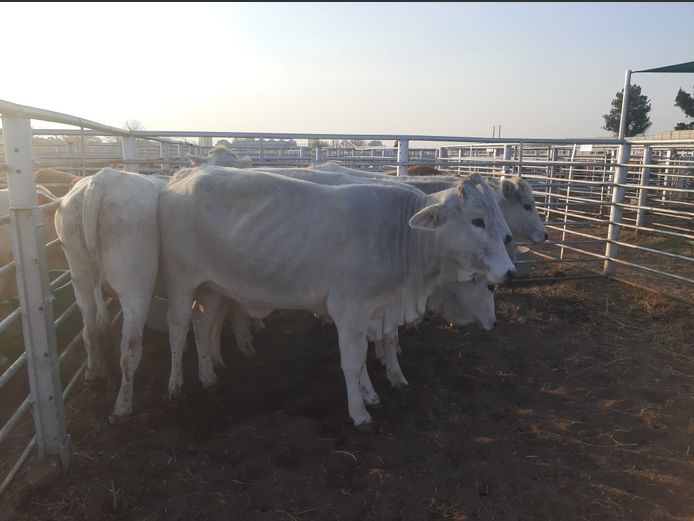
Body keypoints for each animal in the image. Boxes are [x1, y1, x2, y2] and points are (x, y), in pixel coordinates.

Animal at [159, 167, 516, 426]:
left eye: (500, 220)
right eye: (477, 221)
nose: (510, 272)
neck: (403, 237)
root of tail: (182, 178)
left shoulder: (374, 312)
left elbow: (371, 353)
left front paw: (372, 395)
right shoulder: (350, 310)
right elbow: (353, 362)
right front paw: (359, 413)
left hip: (212, 286)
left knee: (202, 326)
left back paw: (208, 376)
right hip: (182, 282)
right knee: (177, 328)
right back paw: (175, 386)